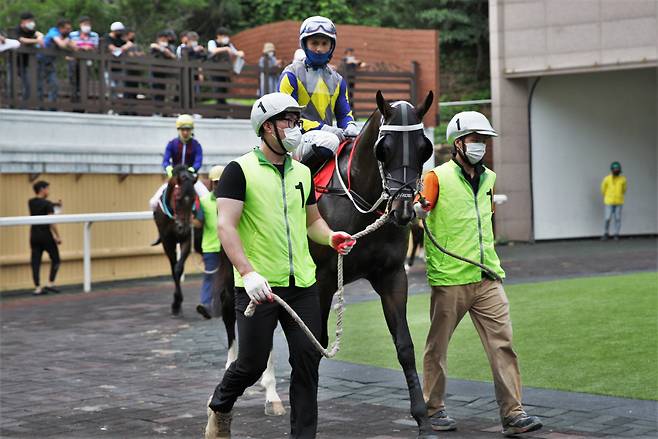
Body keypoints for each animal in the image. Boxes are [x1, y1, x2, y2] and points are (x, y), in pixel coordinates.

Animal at [154, 166, 200, 316]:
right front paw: (176, 303)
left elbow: (178, 268)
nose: (183, 228)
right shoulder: (167, 242)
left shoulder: (187, 239)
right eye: (178, 198)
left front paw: (177, 302)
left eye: (193, 199)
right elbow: (174, 269)